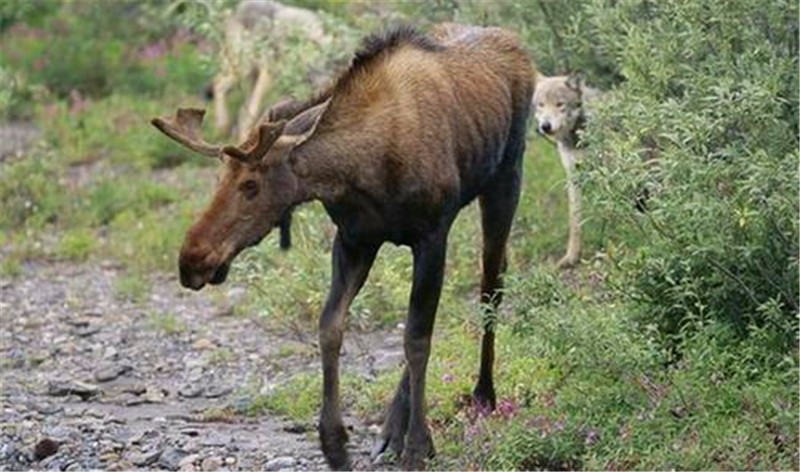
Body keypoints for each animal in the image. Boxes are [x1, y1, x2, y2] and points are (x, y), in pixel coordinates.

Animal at [152, 24, 536, 470]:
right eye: (219, 179)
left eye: (250, 185)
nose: (191, 259)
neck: (361, 171)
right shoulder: (354, 239)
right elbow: (332, 327)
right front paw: (335, 442)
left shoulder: (431, 235)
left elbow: (416, 339)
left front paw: (418, 446)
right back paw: (391, 429)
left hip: (506, 179)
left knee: (492, 285)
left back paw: (482, 395)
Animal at [532, 72, 600, 268]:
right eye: (541, 105)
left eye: (559, 104)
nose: (545, 126)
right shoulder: (573, 176)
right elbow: (575, 221)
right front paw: (572, 257)